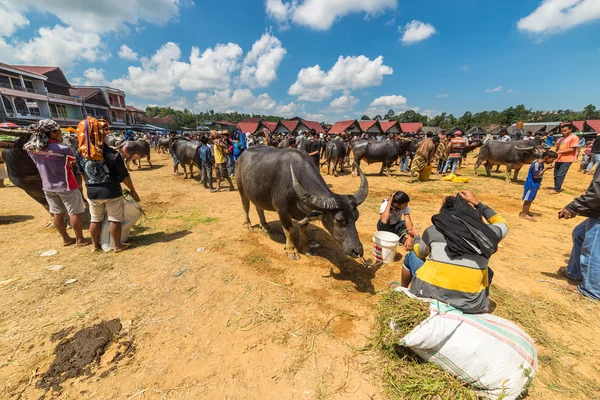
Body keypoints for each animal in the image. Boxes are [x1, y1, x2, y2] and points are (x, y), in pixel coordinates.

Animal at [236, 145, 368, 260]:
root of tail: (241, 156)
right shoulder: (282, 210)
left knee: (259, 207)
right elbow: (289, 230)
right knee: (245, 206)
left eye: (356, 217)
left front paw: (306, 249)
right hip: (241, 188)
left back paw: (265, 226)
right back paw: (247, 226)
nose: (357, 251)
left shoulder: (305, 213)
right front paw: (292, 251)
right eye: (339, 220)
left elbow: (304, 229)